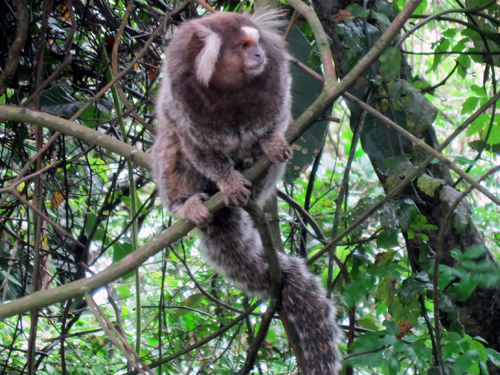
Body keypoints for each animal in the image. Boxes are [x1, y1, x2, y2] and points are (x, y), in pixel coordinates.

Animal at [152, 9, 340, 375]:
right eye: (243, 46)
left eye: (257, 43)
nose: (258, 55)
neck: (229, 89)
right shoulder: (182, 102)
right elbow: (196, 147)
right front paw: (228, 182)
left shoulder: (277, 90)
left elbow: (276, 124)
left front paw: (269, 144)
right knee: (172, 146)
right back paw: (188, 204)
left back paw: (255, 165)